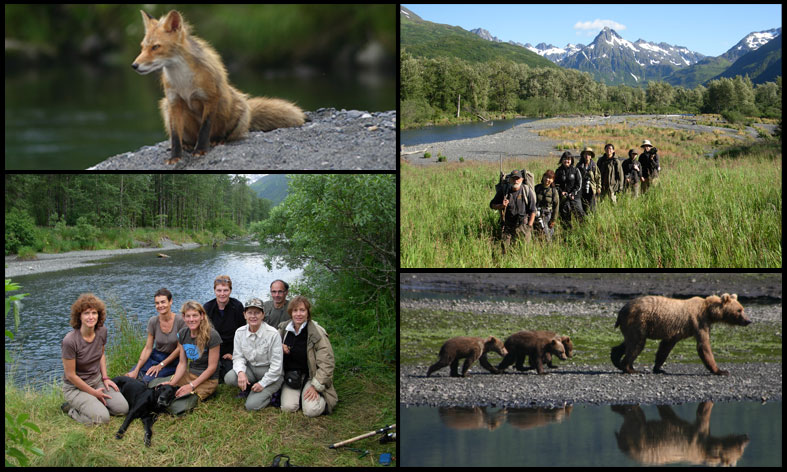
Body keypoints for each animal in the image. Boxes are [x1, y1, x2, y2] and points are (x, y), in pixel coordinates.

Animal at [131, 10, 306, 165]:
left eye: (155, 47)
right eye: (142, 47)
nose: (134, 66)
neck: (183, 82)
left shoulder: (210, 98)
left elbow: (204, 129)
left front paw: (201, 150)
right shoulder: (174, 102)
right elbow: (175, 136)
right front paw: (175, 157)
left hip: (239, 109)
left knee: (226, 135)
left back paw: (218, 140)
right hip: (165, 106)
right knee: (187, 137)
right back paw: (188, 144)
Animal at [608, 292, 752, 376]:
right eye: (739, 310)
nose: (748, 320)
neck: (709, 312)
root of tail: (622, 310)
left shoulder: (674, 331)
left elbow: (665, 347)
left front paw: (659, 368)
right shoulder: (699, 322)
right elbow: (703, 346)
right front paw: (721, 370)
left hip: (634, 325)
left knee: (629, 342)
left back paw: (616, 359)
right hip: (639, 321)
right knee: (637, 344)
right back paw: (629, 368)